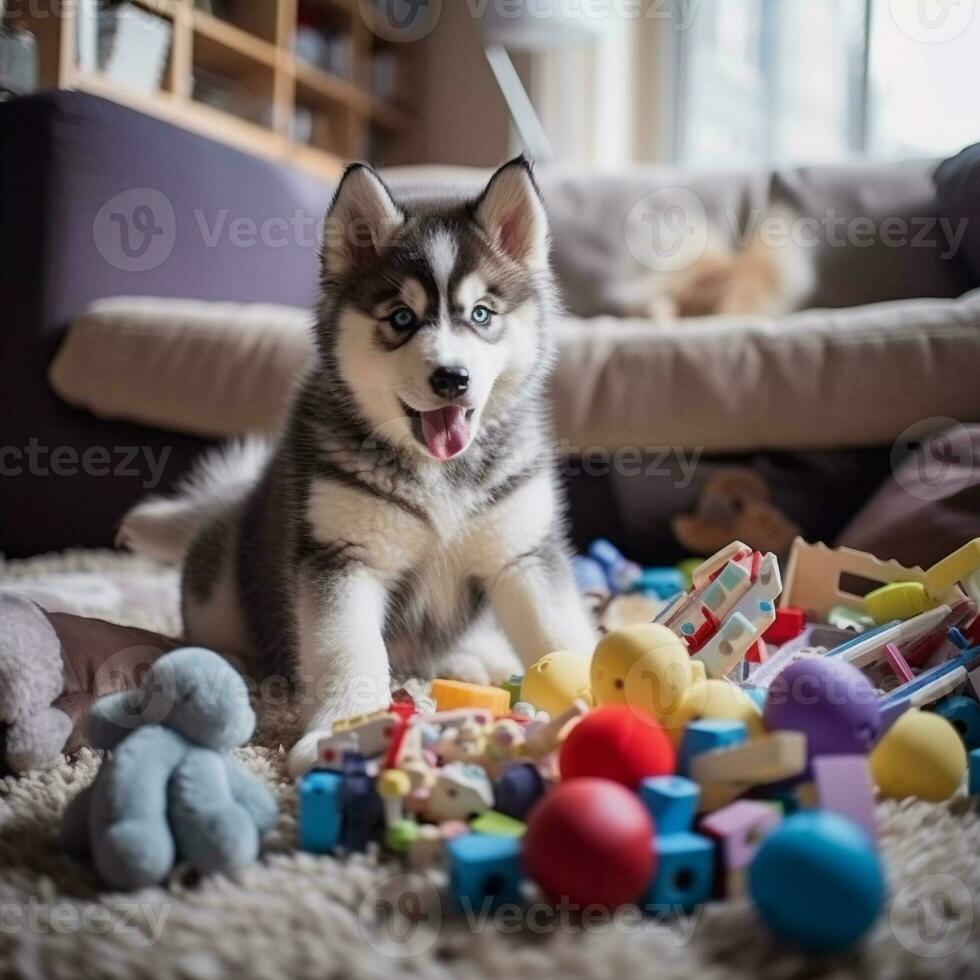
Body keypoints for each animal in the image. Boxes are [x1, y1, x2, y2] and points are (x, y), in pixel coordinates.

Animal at [122, 159, 596, 772]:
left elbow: (560, 630)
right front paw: (342, 729)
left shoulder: (524, 553)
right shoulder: (343, 557)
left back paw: (476, 656)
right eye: (401, 318)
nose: (452, 378)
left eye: (481, 314)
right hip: (222, 574)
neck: (440, 473)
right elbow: (348, 651)